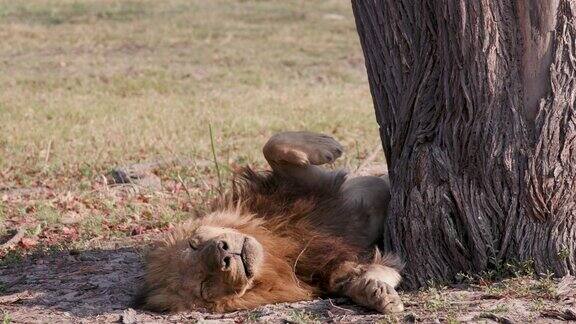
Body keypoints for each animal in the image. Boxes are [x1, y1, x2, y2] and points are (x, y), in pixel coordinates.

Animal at [134, 132, 404, 314]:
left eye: (194, 243)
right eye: (204, 284)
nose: (224, 254)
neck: (276, 246)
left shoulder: (309, 185)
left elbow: (272, 146)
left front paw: (327, 145)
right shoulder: (328, 272)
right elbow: (366, 274)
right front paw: (374, 293)